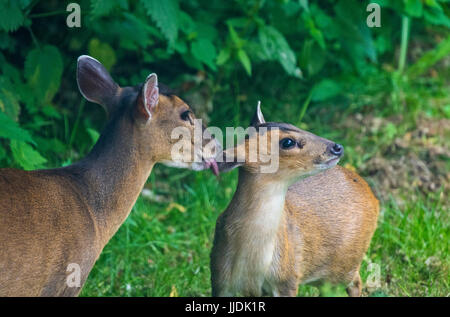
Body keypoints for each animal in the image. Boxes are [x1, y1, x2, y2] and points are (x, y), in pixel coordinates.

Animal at [211, 104, 380, 296]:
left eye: (293, 124)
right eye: (288, 142)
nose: (337, 147)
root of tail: (371, 194)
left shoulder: (287, 278)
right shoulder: (219, 278)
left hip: (344, 264)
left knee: (356, 281)